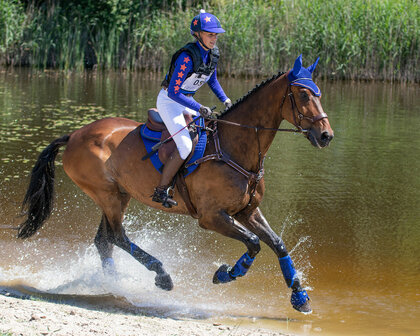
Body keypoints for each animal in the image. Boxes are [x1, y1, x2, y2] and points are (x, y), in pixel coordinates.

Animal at [18, 55, 334, 316]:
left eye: (319, 93)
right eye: (303, 94)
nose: (326, 135)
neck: (234, 147)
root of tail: (74, 134)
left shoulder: (247, 211)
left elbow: (278, 244)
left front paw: (300, 297)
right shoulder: (212, 217)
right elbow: (254, 243)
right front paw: (226, 274)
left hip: (118, 195)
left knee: (104, 241)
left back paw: (114, 284)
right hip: (106, 195)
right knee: (117, 237)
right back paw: (161, 276)